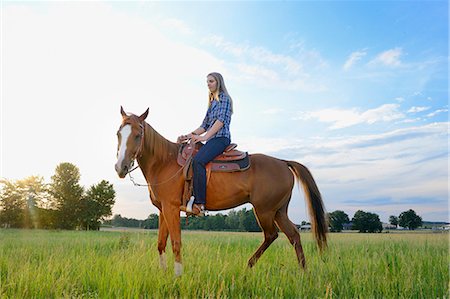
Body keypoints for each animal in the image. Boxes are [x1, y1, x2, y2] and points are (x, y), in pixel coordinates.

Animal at [114, 107, 328, 276]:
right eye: (118, 134)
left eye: (138, 135)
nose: (120, 167)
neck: (164, 162)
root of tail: (283, 163)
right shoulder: (162, 210)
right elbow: (160, 243)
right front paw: (163, 273)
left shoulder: (171, 208)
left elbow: (175, 242)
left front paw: (177, 276)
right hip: (279, 211)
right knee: (293, 236)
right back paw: (303, 272)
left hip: (265, 211)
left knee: (271, 235)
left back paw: (249, 265)